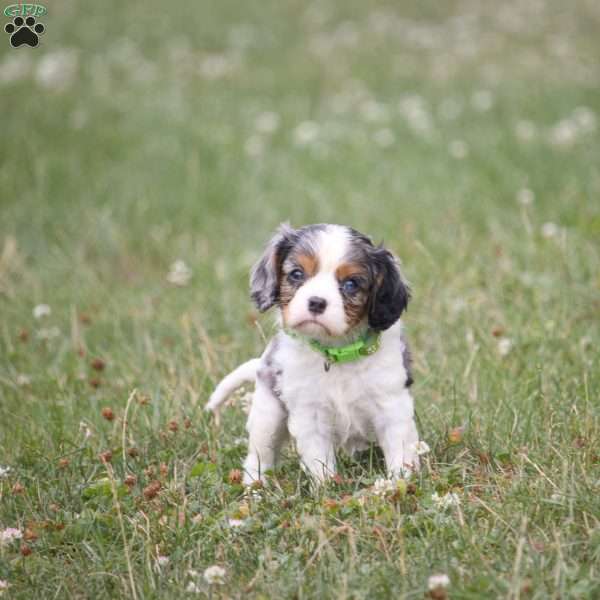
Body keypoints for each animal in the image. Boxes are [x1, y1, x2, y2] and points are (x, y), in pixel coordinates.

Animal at [209, 223, 420, 486]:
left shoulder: (391, 406)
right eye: (297, 274)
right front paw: (326, 487)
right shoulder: (310, 414)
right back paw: (254, 487)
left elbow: (399, 451)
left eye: (351, 284)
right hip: (267, 416)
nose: (317, 302)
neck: (337, 353)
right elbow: (319, 460)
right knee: (258, 458)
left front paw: (399, 483)